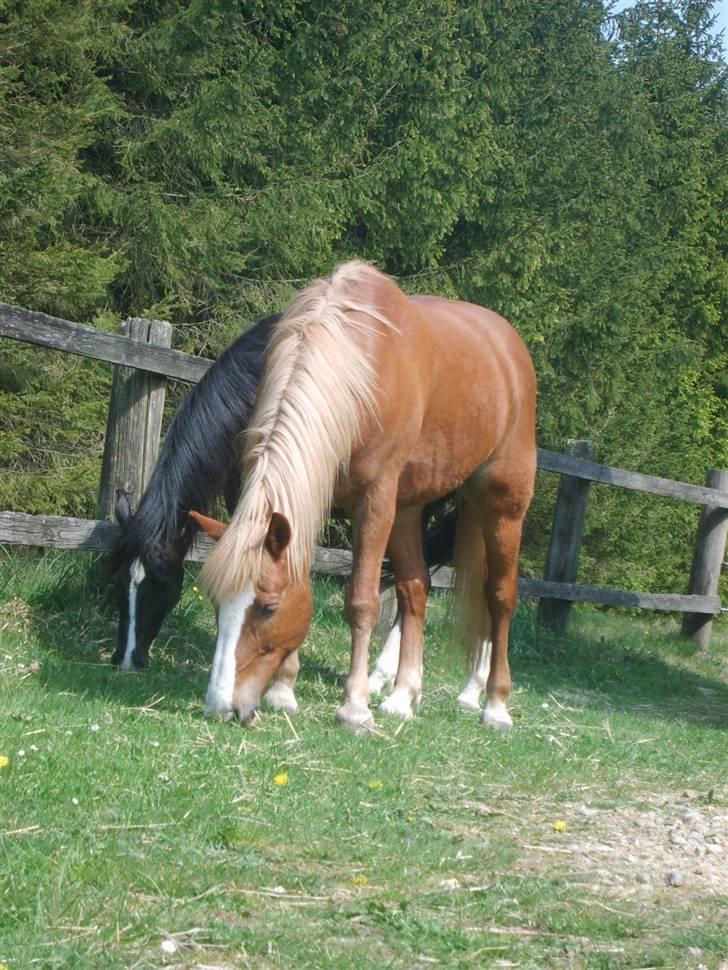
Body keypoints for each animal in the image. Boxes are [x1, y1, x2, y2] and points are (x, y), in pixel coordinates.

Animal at [192, 260, 536, 728]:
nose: (220, 705)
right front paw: (284, 691)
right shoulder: (314, 498)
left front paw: (354, 707)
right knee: (416, 589)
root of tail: (507, 345)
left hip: (502, 502)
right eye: (216, 603)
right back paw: (403, 695)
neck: (355, 372)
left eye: (268, 606)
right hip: (409, 509)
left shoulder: (373, 502)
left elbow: (361, 601)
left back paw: (494, 704)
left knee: (499, 595)